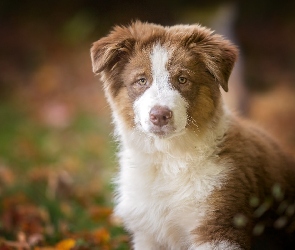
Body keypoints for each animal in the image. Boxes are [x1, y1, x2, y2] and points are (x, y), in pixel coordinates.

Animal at [90, 21, 295, 248]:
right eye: (142, 80)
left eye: (182, 79)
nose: (159, 115)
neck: (167, 159)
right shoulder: (147, 235)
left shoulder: (218, 227)